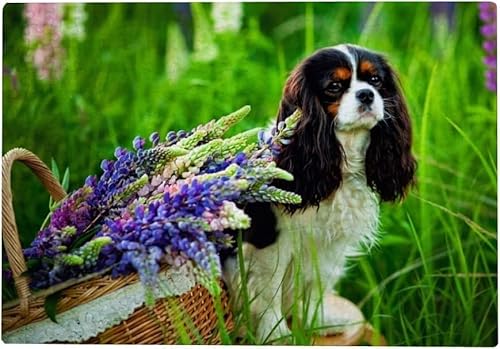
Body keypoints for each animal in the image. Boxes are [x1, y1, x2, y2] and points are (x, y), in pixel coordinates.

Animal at [224, 44, 418, 342]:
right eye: (334, 86)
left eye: (375, 81)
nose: (366, 94)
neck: (340, 156)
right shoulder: (273, 244)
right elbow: (270, 291)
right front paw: (276, 333)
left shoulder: (328, 244)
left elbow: (317, 282)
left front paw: (318, 321)